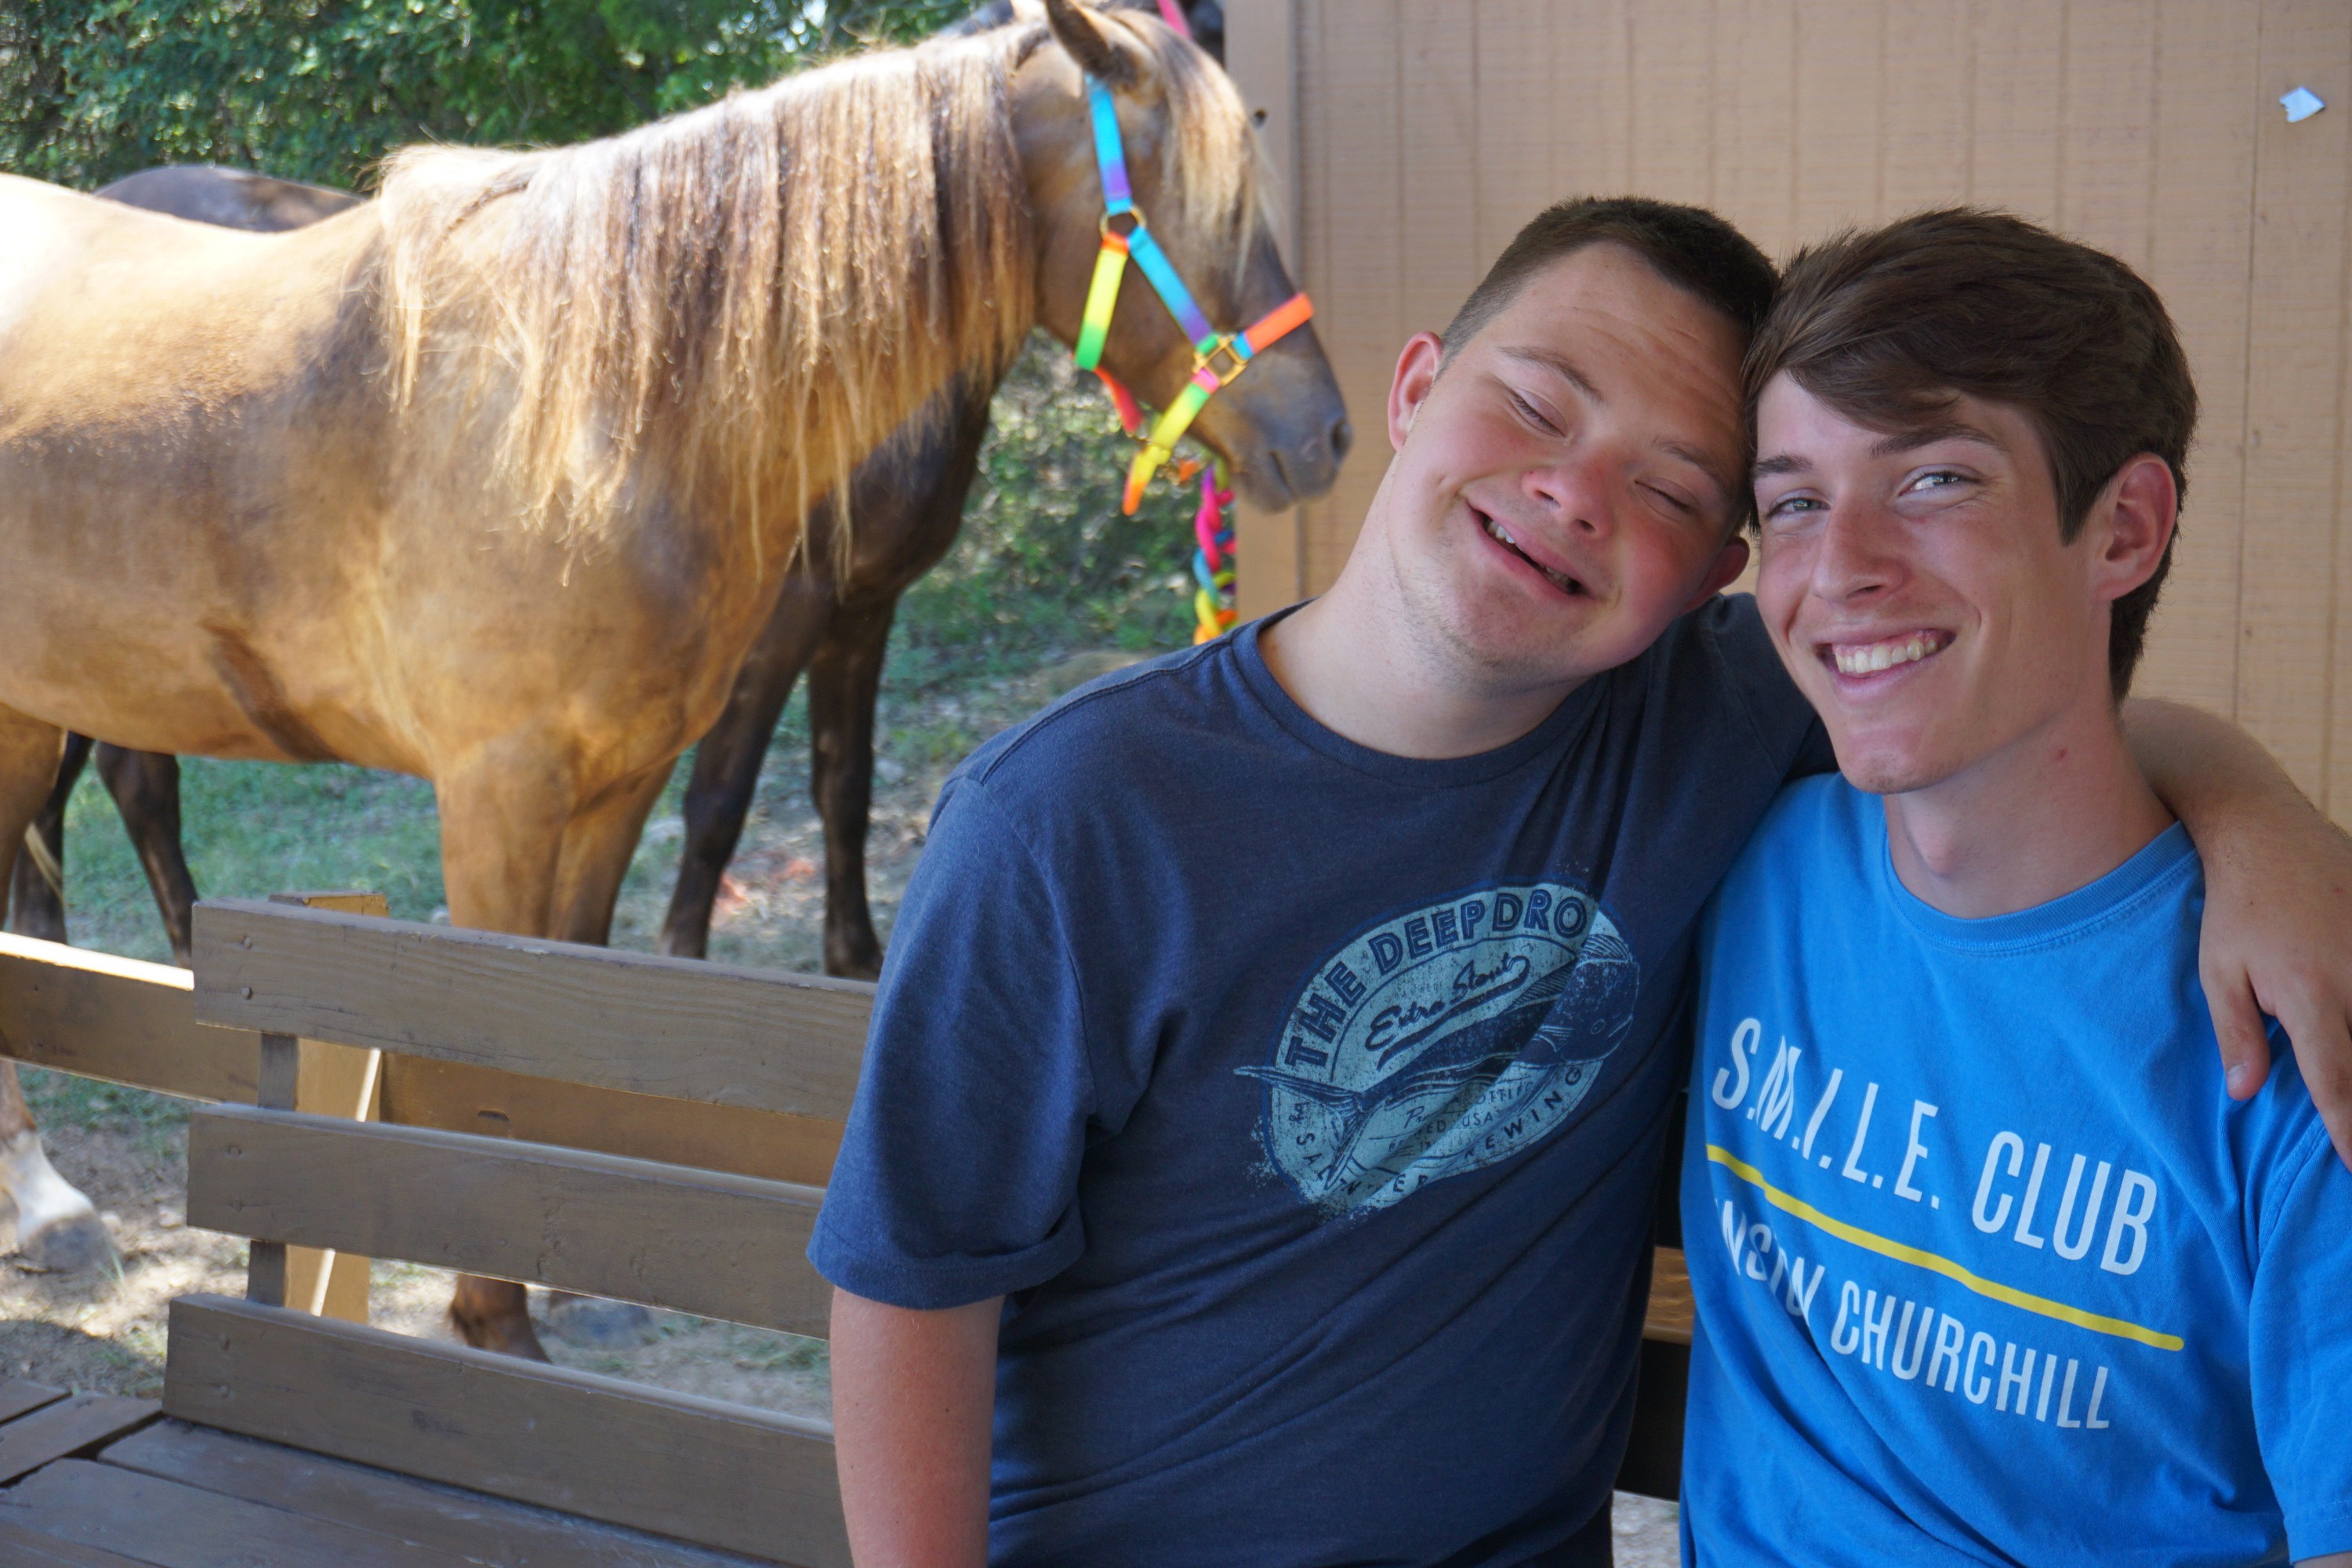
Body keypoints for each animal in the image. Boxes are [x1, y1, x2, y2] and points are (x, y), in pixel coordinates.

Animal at [0, 0, 1345, 1363]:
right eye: (1203, 207)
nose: (1326, 433)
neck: (605, 408)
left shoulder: (621, 783)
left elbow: (581, 1005)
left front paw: (557, 1285)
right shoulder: (500, 793)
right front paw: (494, 1322)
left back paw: (48, 1202)